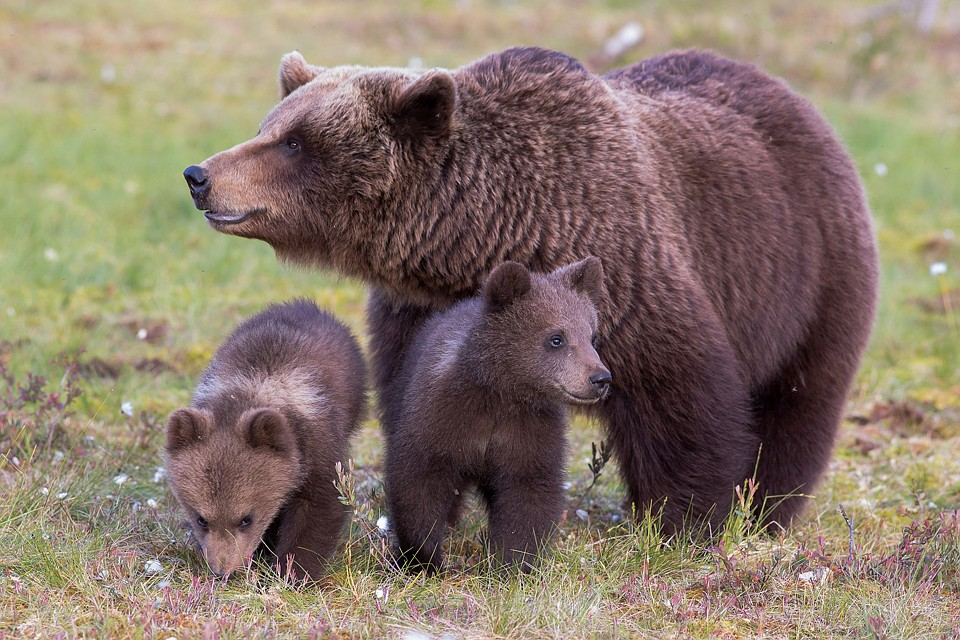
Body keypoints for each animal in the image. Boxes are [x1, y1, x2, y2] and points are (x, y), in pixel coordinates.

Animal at [182, 47, 876, 532]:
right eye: (269, 126)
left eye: (295, 143)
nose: (199, 174)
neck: (483, 233)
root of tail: (798, 101)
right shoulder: (417, 312)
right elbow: (418, 411)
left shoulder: (626, 268)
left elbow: (682, 396)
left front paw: (684, 522)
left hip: (807, 270)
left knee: (797, 403)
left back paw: (766, 512)